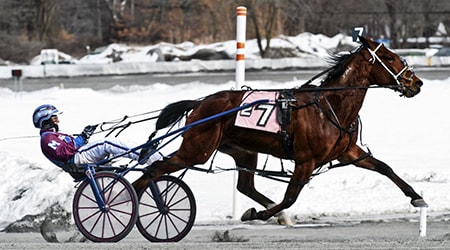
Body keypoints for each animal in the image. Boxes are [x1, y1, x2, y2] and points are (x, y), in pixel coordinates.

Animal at [132, 36, 428, 223]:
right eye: (389, 57)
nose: (417, 83)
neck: (330, 105)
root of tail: (200, 102)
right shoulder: (305, 160)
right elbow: (290, 197)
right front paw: (259, 214)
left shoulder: (348, 151)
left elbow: (384, 167)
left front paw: (417, 198)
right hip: (197, 150)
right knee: (154, 169)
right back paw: (127, 198)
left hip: (242, 151)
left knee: (245, 186)